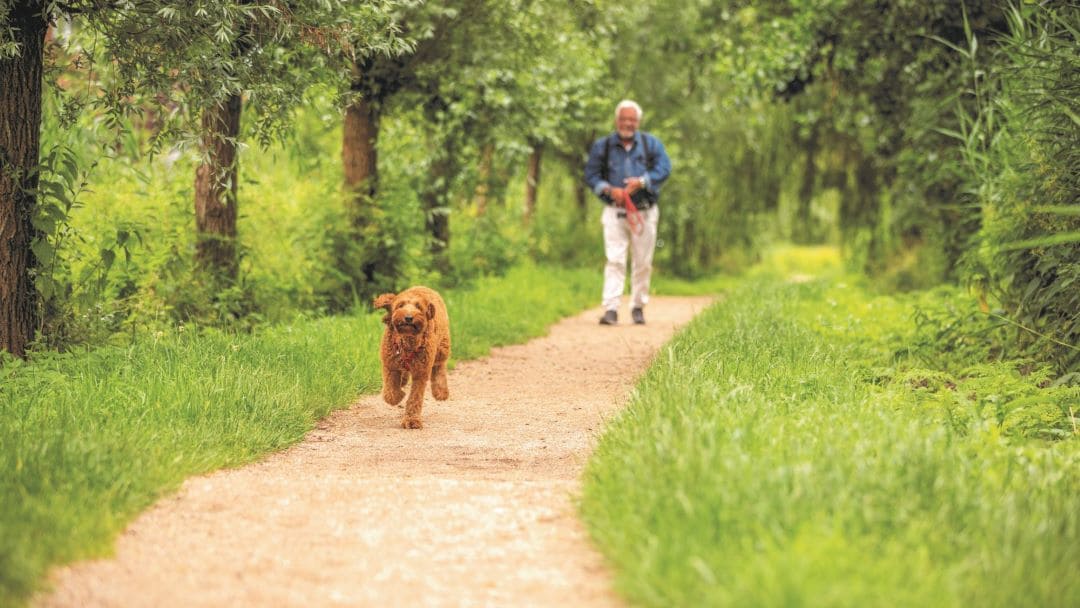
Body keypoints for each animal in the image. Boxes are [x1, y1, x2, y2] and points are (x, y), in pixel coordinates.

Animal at [371, 285, 451, 427]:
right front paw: (399, 394)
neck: (407, 342)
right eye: (400, 305)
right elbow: (390, 394)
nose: (408, 317)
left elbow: (415, 398)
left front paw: (412, 420)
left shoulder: (421, 372)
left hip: (442, 348)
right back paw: (403, 380)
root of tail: (424, 287)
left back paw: (441, 391)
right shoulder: (390, 365)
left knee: (439, 366)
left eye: (419, 307)